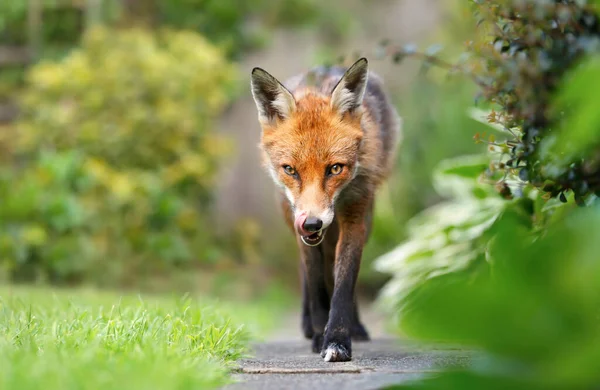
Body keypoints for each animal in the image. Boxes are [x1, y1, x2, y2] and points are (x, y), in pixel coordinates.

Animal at [251, 58, 400, 362]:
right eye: (290, 170)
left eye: (335, 168)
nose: (312, 223)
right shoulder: (299, 223)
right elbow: (316, 282)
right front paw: (320, 333)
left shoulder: (355, 217)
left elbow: (343, 284)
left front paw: (337, 340)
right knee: (306, 272)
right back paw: (308, 326)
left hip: (364, 222)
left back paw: (356, 326)